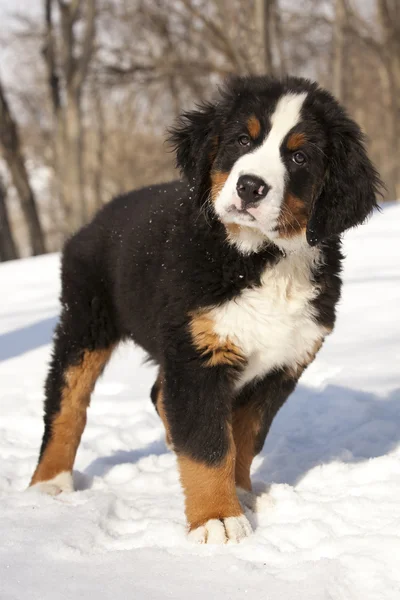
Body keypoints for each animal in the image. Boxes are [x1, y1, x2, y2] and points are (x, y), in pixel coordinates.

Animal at [30, 75, 382, 544]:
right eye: (241, 140)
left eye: (299, 156)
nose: (250, 186)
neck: (261, 258)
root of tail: (96, 219)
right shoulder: (199, 355)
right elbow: (208, 444)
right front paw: (217, 518)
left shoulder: (279, 366)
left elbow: (243, 439)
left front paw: (241, 494)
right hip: (86, 320)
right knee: (66, 400)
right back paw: (49, 482)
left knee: (158, 392)